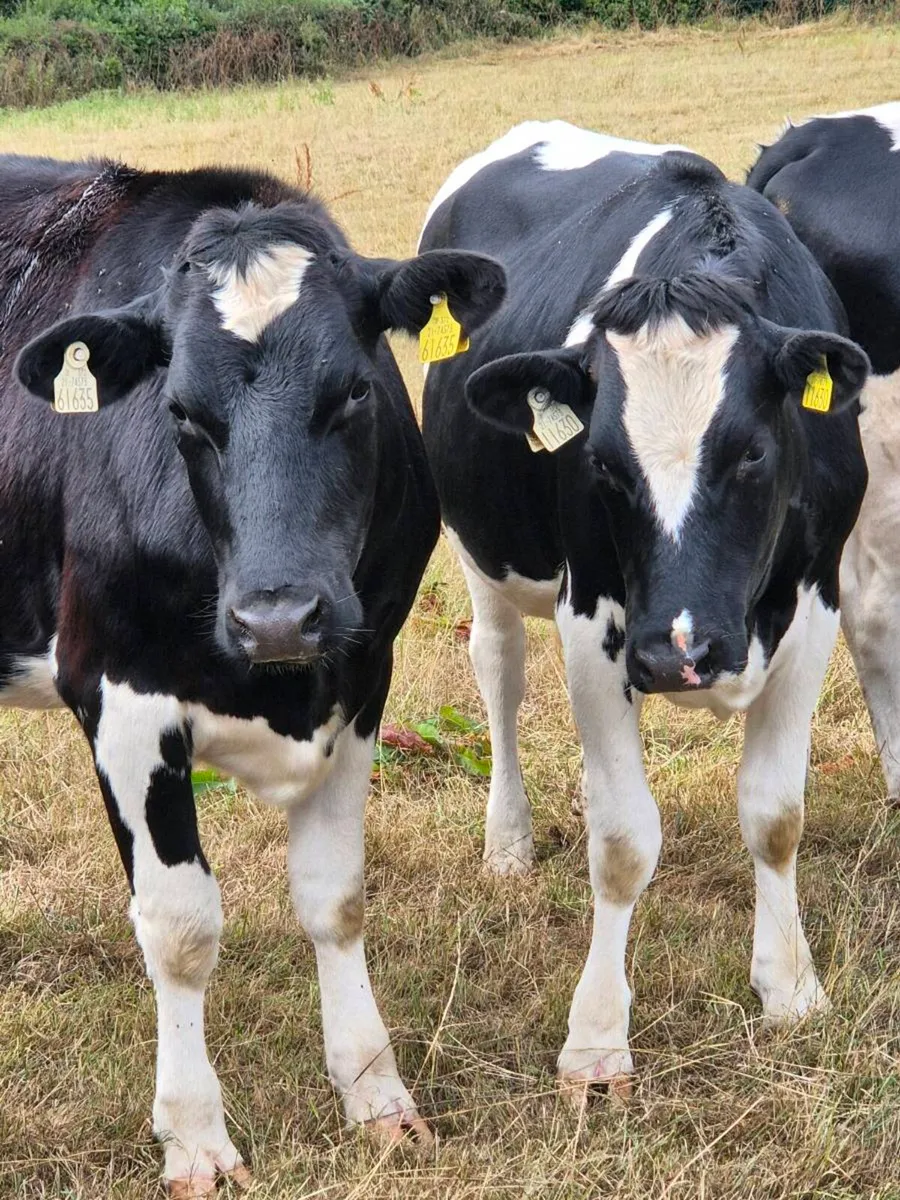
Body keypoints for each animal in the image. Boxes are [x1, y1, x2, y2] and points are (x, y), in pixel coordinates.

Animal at [0, 153, 505, 1194]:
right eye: (181, 412)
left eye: (354, 392)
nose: (277, 616)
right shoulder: (116, 694)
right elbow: (181, 926)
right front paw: (196, 1136)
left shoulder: (364, 673)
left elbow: (334, 895)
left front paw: (375, 1092)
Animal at [419, 121, 870, 1094]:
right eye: (600, 461)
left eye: (751, 451)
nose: (677, 657)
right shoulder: (595, 618)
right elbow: (624, 840)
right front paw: (596, 1038)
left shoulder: (815, 601)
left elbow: (775, 816)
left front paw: (791, 988)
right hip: (478, 549)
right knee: (497, 675)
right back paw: (508, 841)